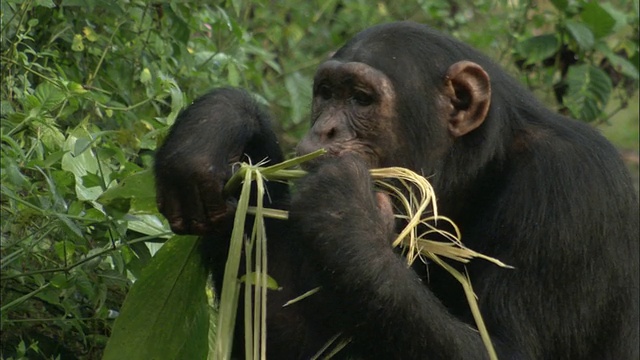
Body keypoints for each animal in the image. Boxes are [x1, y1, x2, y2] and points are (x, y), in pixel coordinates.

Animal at [155, 21, 640, 358]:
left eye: (361, 99)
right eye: (326, 92)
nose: (325, 129)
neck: (483, 166)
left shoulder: (570, 190)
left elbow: (509, 350)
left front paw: (344, 215)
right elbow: (279, 327)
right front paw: (217, 124)